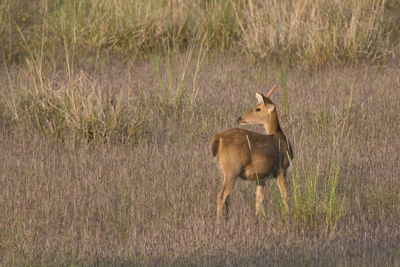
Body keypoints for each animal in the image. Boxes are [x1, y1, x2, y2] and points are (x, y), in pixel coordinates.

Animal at [211, 85, 292, 222]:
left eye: (257, 108)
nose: (239, 118)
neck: (279, 135)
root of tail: (219, 139)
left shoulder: (262, 177)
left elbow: (259, 199)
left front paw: (257, 218)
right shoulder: (281, 168)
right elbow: (284, 195)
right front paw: (287, 215)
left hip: (222, 171)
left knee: (227, 197)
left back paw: (227, 219)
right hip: (232, 169)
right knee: (221, 196)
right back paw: (218, 224)